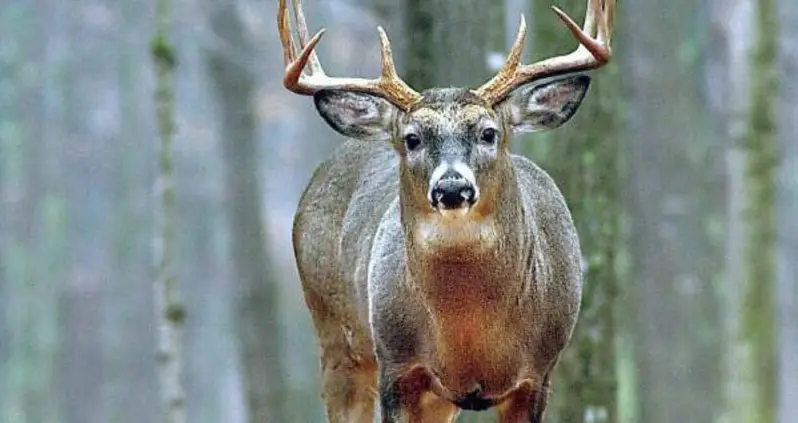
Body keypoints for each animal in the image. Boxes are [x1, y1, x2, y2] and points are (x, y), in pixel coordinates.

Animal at [279, 0, 615, 421]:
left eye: (488, 132)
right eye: (412, 138)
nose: (452, 187)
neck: (469, 338)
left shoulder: (539, 375)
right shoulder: (398, 365)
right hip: (336, 338)